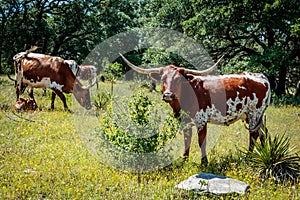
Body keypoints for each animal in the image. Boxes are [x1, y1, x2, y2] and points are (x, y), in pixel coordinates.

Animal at [120, 52, 272, 164]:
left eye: (178, 79)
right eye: (163, 79)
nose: (168, 95)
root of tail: (261, 76)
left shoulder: (201, 120)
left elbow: (201, 142)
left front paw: (204, 162)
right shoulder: (185, 122)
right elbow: (187, 141)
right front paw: (184, 161)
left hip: (254, 113)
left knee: (254, 135)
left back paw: (248, 157)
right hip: (255, 116)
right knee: (263, 133)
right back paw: (263, 153)